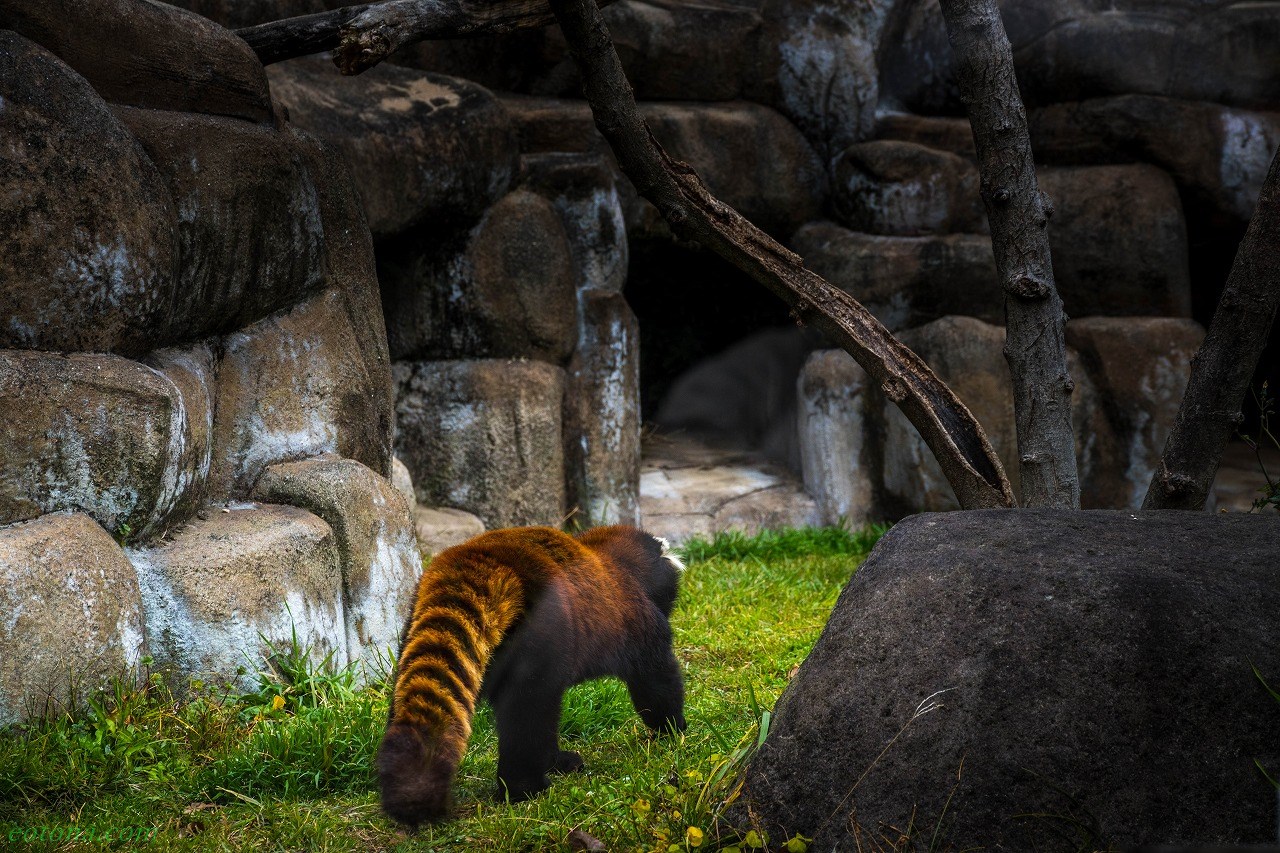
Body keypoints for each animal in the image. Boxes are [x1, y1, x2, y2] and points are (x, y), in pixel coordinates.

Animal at [373, 522, 686, 819]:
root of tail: (486, 565)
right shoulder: (635, 618)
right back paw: (526, 787)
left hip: (415, 629)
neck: (612, 558)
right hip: (540, 635)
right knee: (529, 714)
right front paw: (673, 729)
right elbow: (656, 680)